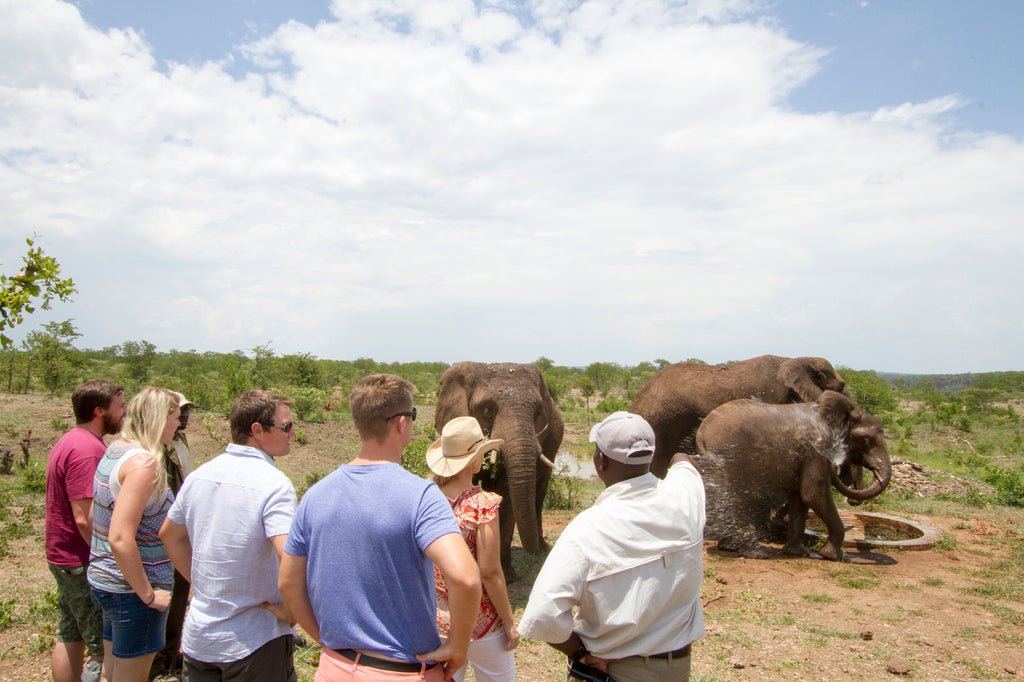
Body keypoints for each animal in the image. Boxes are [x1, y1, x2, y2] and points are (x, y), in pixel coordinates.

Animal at [435, 362, 564, 582]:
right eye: (487, 409)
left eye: (538, 412)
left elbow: (506, 495)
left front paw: (507, 577)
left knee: (539, 493)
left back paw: (542, 550)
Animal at [696, 390, 892, 561]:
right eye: (866, 440)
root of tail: (703, 431)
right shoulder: (818, 449)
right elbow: (814, 494)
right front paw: (833, 556)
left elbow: (800, 498)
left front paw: (798, 553)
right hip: (734, 456)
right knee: (739, 498)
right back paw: (757, 553)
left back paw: (729, 546)